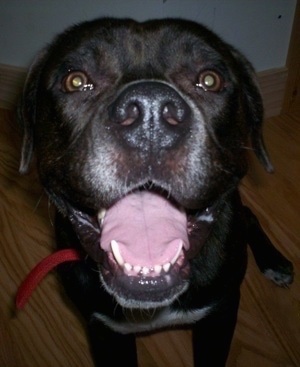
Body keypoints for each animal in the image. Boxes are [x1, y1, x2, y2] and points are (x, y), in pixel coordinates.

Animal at [17, 18, 294, 366]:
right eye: (76, 80)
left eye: (209, 79)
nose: (150, 113)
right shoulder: (105, 329)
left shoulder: (222, 314)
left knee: (251, 216)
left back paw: (275, 262)